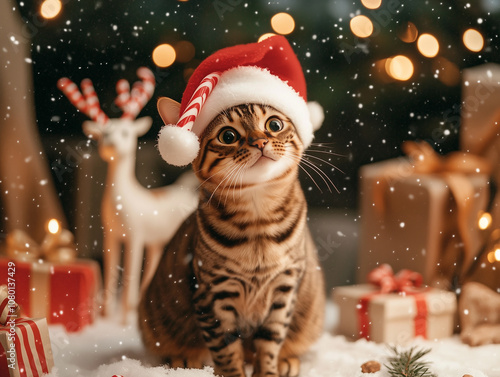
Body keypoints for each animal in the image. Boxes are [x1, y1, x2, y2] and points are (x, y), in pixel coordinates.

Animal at [139, 103, 326, 376]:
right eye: (228, 136)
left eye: (274, 124)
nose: (260, 141)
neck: (259, 225)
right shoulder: (212, 293)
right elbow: (225, 348)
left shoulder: (284, 288)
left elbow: (270, 342)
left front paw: (268, 371)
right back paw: (184, 360)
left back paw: (286, 362)